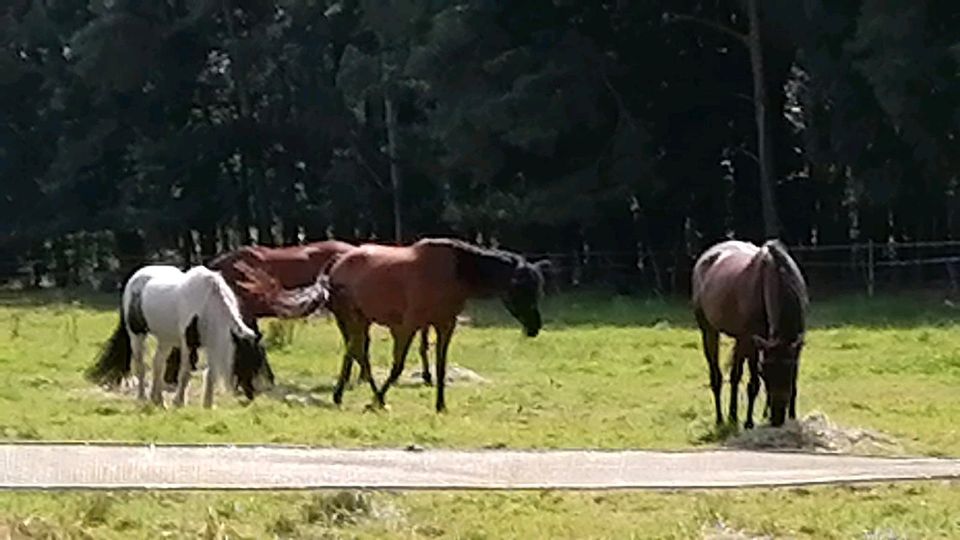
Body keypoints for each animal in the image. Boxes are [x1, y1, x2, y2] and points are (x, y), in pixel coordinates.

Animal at [85, 264, 272, 408]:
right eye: (244, 358)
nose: (252, 394)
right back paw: (142, 397)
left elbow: (210, 374)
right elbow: (185, 372)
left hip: (165, 339)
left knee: (158, 363)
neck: (207, 305)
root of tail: (135, 277)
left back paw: (158, 400)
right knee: (140, 365)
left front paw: (208, 405)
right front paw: (179, 402)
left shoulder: (211, 343)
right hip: (137, 335)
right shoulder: (189, 344)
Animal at [240, 238, 552, 412]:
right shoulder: (408, 325)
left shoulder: (445, 325)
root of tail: (337, 261)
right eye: (521, 289)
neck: (454, 272)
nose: (535, 327)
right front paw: (378, 399)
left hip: (359, 319)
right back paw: (367, 395)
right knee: (359, 353)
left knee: (354, 352)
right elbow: (398, 366)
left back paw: (341, 395)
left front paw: (440, 405)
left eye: (538, 289)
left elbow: (440, 366)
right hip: (354, 317)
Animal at [692, 238, 808, 428]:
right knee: (717, 376)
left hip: (739, 340)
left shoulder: (795, 346)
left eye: (789, 372)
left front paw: (792, 416)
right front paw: (748, 422)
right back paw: (721, 419)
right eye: (765, 373)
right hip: (710, 332)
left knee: (735, 375)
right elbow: (753, 384)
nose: (777, 418)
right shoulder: (753, 342)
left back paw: (733, 416)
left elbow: (794, 385)